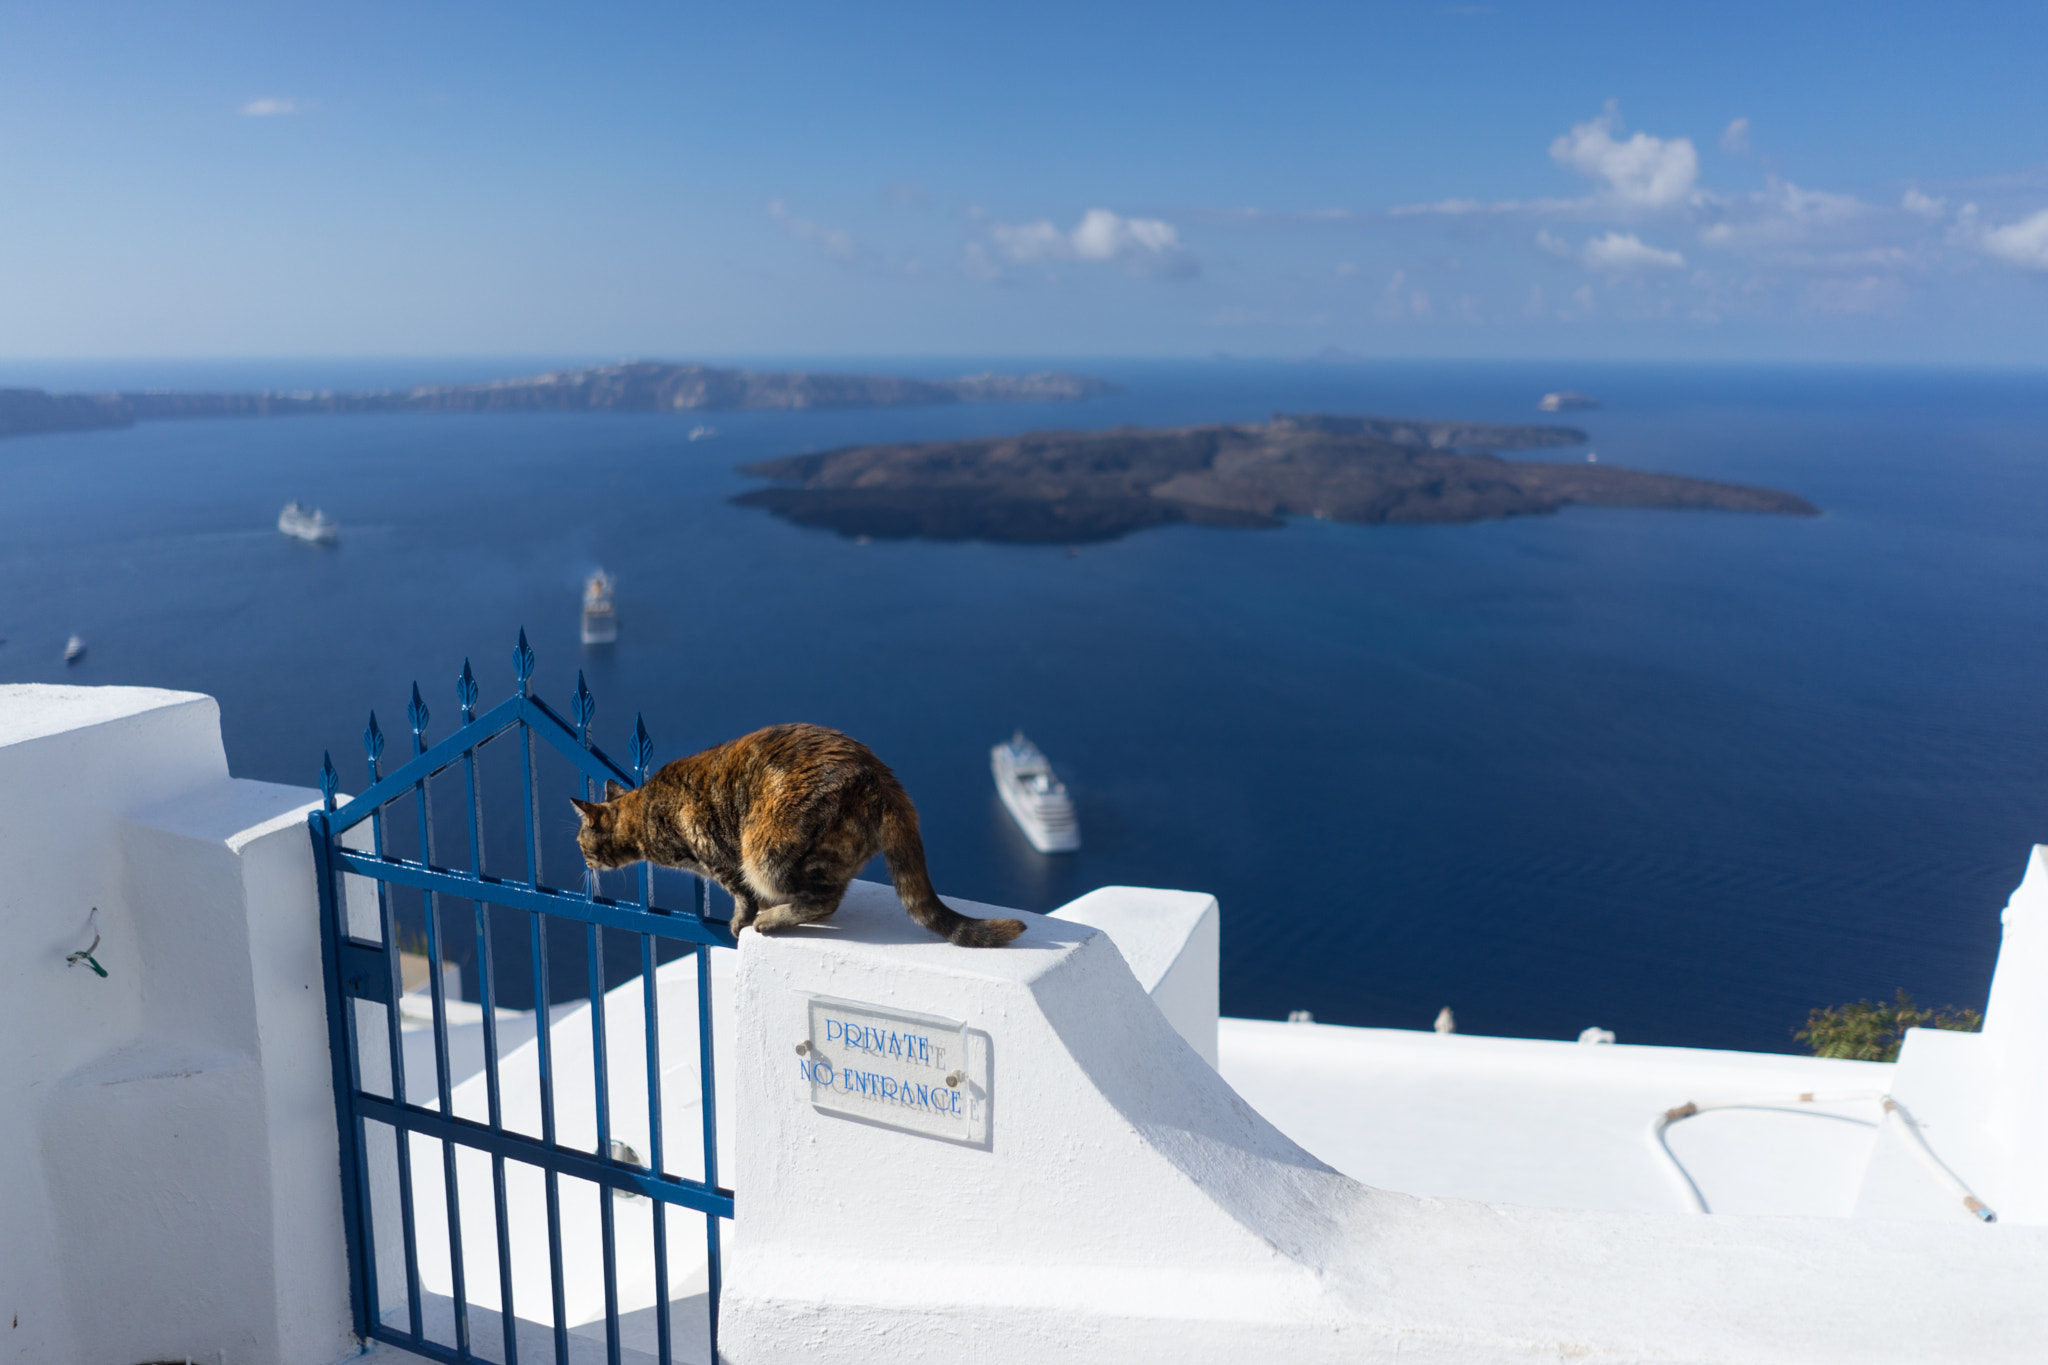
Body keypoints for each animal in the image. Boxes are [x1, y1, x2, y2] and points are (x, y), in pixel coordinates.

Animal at [573, 720, 1024, 945]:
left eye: (580, 842)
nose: (582, 861)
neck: (644, 809)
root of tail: (882, 777)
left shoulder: (720, 859)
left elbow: (742, 898)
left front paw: (743, 920)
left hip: (765, 851)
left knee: (824, 900)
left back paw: (772, 920)